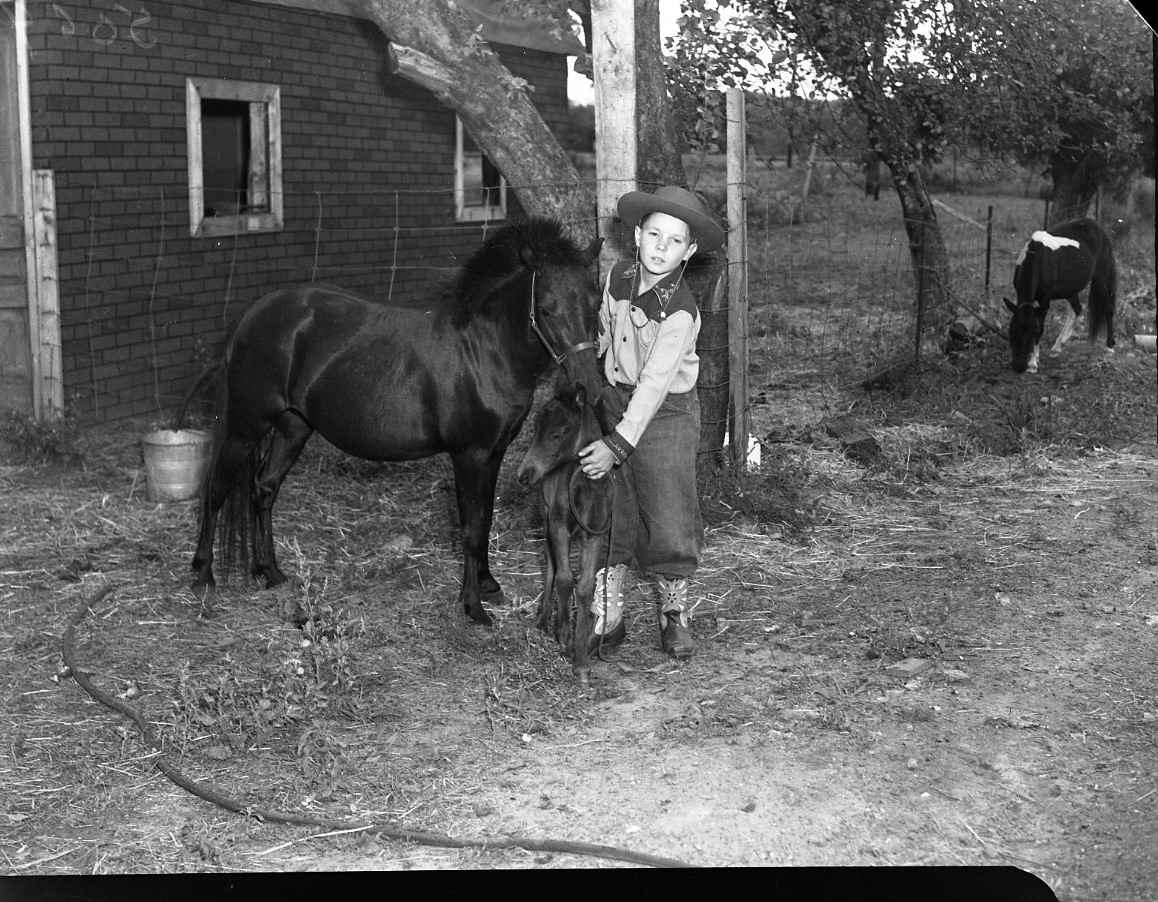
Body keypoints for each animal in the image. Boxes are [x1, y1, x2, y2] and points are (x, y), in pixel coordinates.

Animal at [189, 218, 602, 629]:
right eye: (546, 309)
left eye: (595, 304)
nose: (588, 385)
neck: (483, 350)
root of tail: (252, 316)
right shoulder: (469, 455)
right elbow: (470, 529)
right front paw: (473, 607)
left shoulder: (493, 453)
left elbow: (484, 519)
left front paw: (488, 586)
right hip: (245, 426)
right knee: (216, 490)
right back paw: (204, 575)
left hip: (293, 427)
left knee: (264, 488)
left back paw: (271, 572)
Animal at [511, 382, 611, 685]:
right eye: (534, 429)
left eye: (558, 433)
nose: (524, 474)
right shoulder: (557, 525)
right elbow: (564, 578)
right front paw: (563, 636)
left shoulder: (594, 534)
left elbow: (586, 586)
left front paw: (581, 662)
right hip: (546, 519)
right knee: (550, 564)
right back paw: (544, 619)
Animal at [1000, 216, 1116, 372]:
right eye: (1012, 330)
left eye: (1032, 332)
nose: (1018, 367)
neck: (1037, 257)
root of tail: (1097, 227)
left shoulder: (1044, 301)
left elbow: (1042, 327)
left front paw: (1033, 364)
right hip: (1070, 290)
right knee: (1077, 309)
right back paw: (1057, 347)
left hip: (1101, 277)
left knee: (1108, 308)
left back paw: (1109, 347)